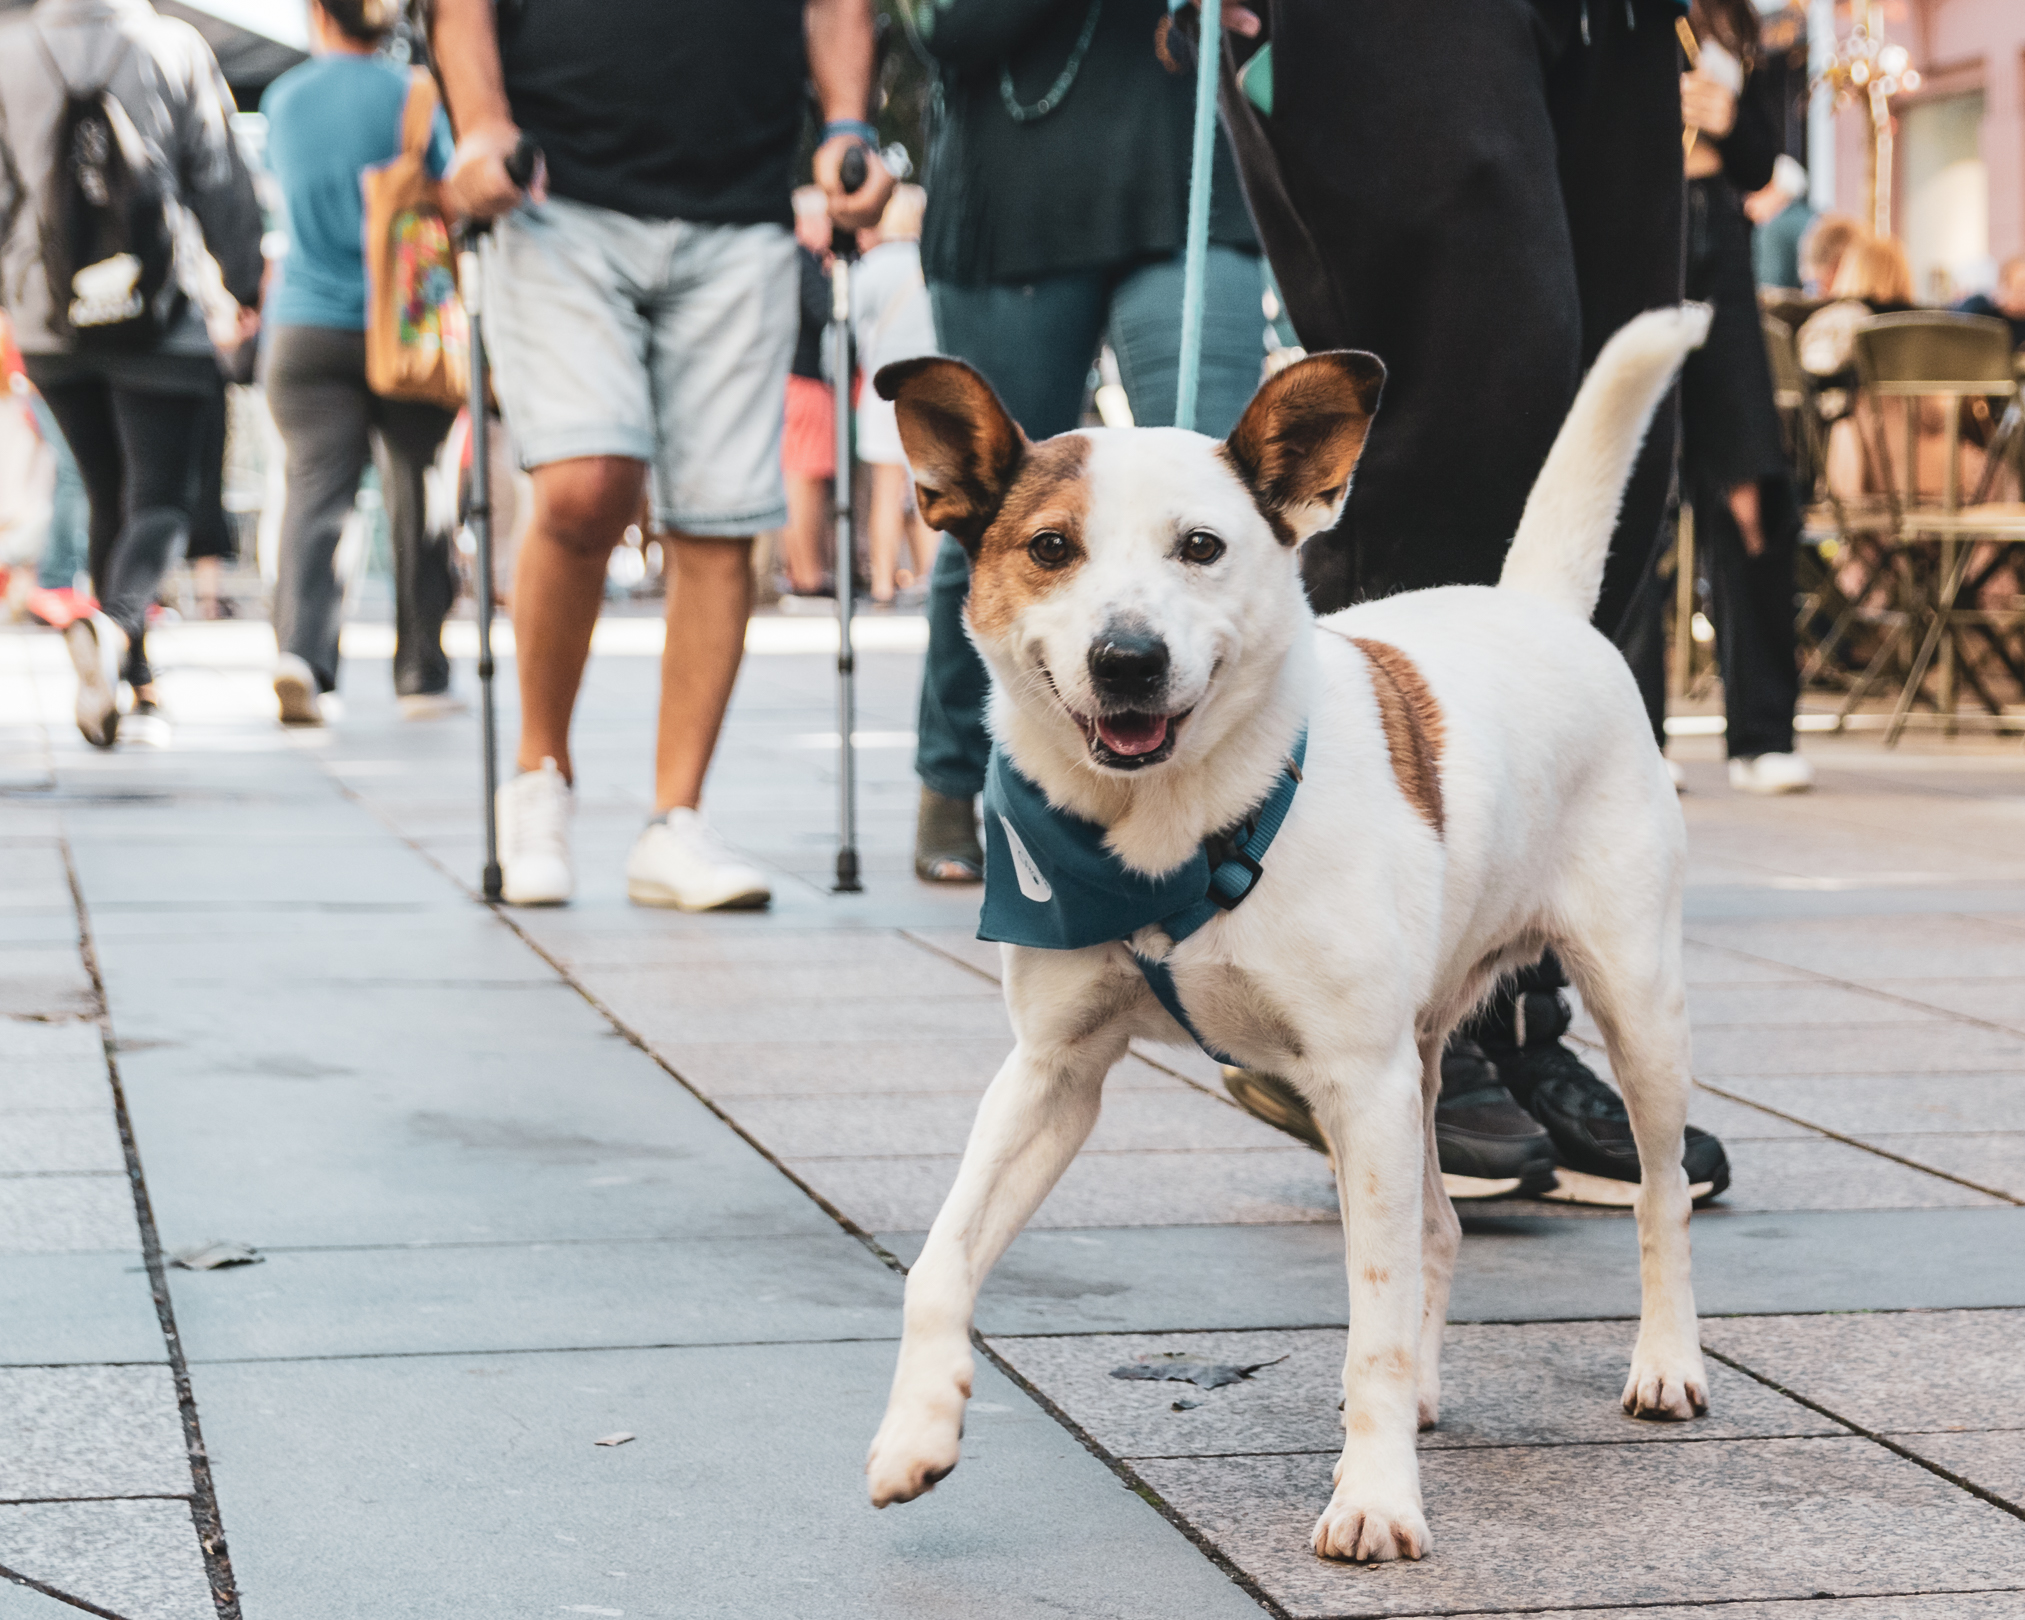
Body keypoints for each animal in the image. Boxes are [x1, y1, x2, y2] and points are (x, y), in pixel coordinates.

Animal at [862, 303, 1717, 1555]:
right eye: (1052, 548)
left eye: (1202, 547)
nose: (1128, 659)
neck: (1168, 838)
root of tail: (1535, 607)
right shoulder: (1052, 1073)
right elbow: (938, 1259)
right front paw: (917, 1429)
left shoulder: (1357, 1082)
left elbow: (1372, 1318)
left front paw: (1375, 1497)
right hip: (1420, 1056)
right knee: (1438, 1231)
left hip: (1636, 1003)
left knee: (1657, 1194)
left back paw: (1664, 1363)